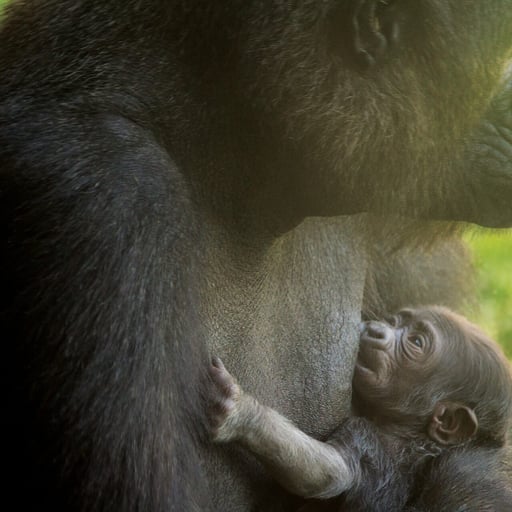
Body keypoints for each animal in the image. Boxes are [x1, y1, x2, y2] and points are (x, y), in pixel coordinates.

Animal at [208, 306, 512, 510]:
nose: (377, 330)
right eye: (395, 321)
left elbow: (326, 471)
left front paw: (244, 414)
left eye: (415, 342)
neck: (413, 434)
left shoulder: (368, 439)